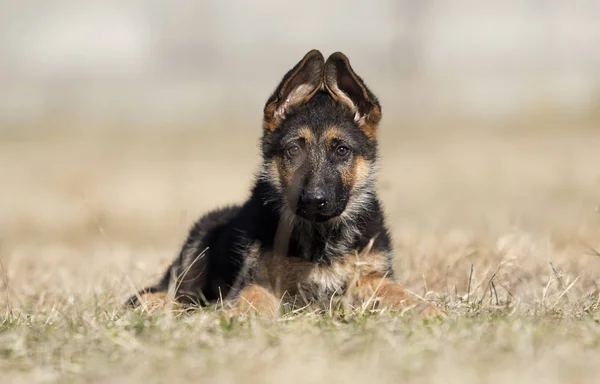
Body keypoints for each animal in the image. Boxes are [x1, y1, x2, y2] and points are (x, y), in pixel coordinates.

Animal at [126, 49, 446, 318]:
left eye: (341, 150)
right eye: (293, 150)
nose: (314, 200)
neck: (321, 236)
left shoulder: (369, 276)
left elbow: (398, 292)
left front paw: (428, 309)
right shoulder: (259, 280)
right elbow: (253, 299)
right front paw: (240, 318)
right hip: (198, 242)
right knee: (173, 292)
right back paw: (155, 303)